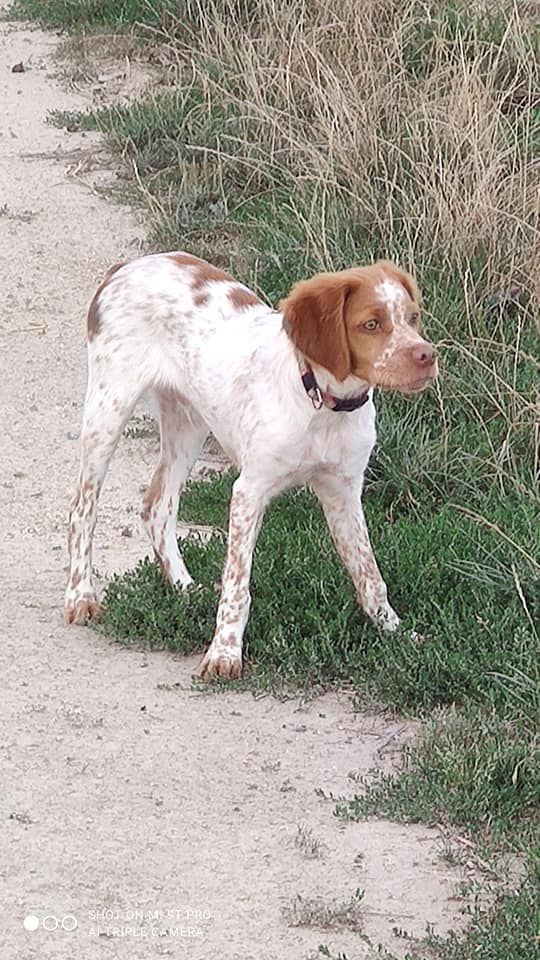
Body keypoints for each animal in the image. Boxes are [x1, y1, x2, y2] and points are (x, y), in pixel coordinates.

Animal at [66, 251, 438, 680]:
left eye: (412, 317)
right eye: (371, 324)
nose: (427, 355)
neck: (320, 403)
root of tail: (129, 265)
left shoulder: (343, 491)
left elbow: (369, 573)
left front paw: (395, 631)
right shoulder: (250, 491)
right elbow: (237, 584)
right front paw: (225, 652)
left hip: (187, 422)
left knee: (158, 505)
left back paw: (184, 587)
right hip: (108, 408)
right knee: (82, 508)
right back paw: (80, 595)